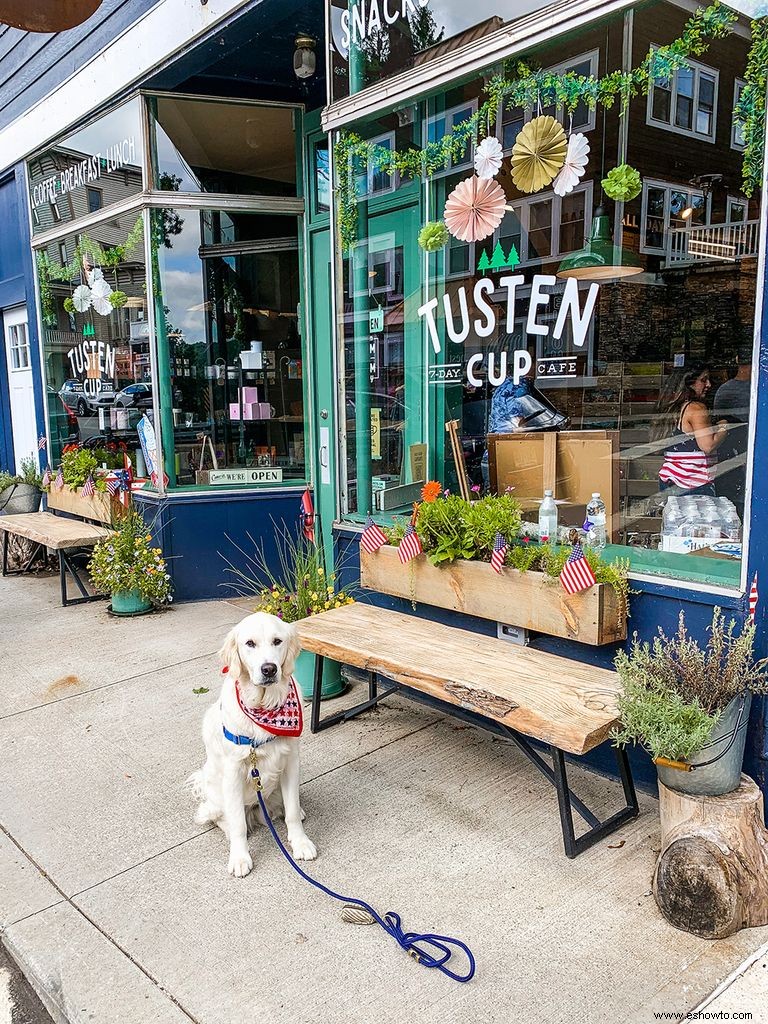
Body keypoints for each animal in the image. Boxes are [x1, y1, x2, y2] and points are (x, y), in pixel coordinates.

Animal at [191, 610, 317, 876]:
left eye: (277, 641)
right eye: (250, 643)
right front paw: (240, 857)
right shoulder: (233, 772)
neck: (263, 707)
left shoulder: (291, 761)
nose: (269, 669)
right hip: (216, 794)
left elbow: (291, 810)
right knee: (223, 817)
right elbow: (238, 822)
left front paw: (300, 842)